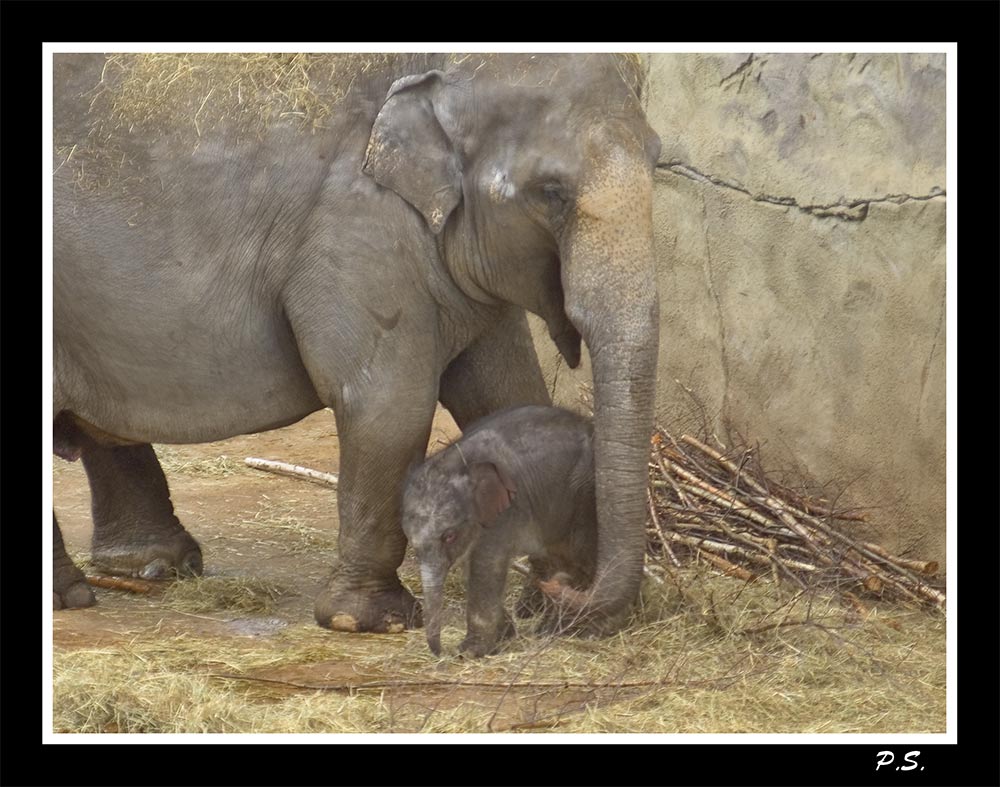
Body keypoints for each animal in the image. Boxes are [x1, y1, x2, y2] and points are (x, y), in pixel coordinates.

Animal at [402, 406, 596, 660]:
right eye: (412, 544)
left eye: (449, 536)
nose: (441, 652)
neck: (460, 462)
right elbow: (470, 568)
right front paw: (505, 636)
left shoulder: (505, 513)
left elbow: (486, 566)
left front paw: (469, 652)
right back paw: (547, 628)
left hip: (582, 491)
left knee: (580, 555)